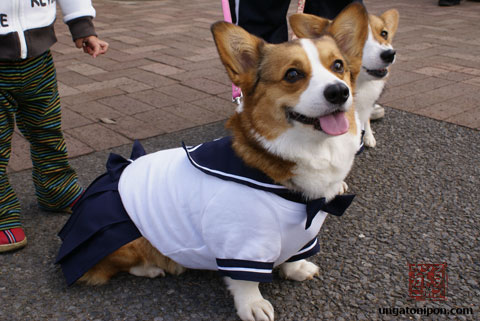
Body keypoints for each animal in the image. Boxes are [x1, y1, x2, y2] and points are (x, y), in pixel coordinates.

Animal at [56, 3, 370, 320]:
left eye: (338, 66)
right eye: (293, 74)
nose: (339, 91)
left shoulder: (302, 233)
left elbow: (295, 253)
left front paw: (296, 268)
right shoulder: (241, 243)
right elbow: (245, 281)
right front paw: (253, 305)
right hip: (127, 238)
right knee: (113, 267)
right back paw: (156, 266)